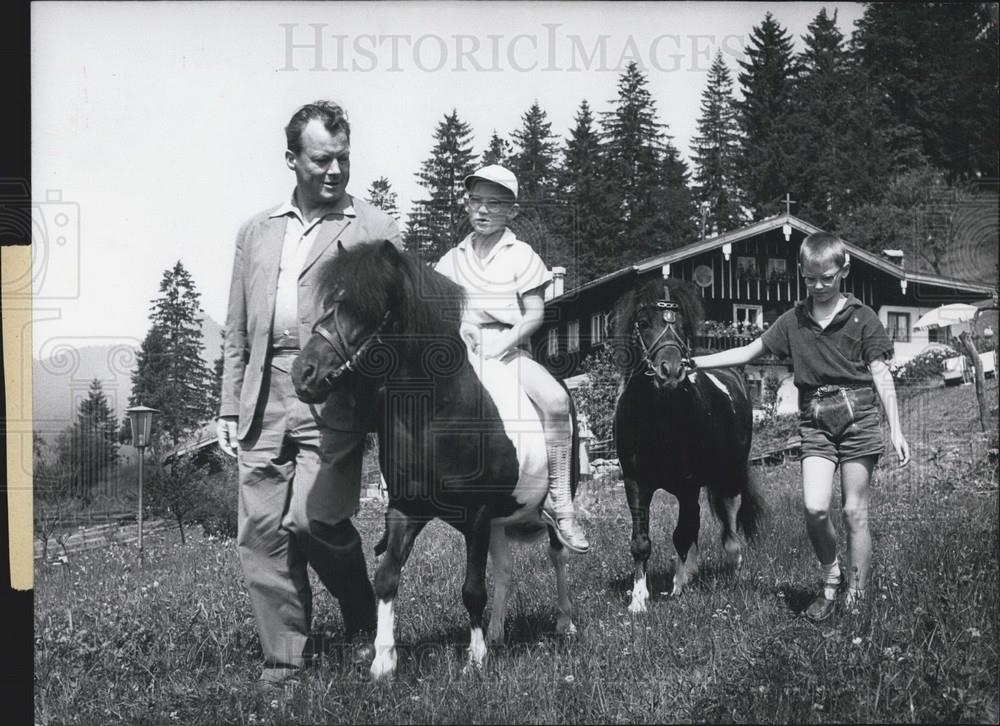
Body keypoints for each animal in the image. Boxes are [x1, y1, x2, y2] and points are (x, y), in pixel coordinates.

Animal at [292, 242, 580, 680]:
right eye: (329, 304)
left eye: (368, 307)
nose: (303, 373)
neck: (437, 413)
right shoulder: (406, 510)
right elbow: (386, 578)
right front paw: (383, 661)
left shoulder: (476, 514)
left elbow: (472, 589)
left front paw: (475, 658)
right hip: (500, 520)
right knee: (505, 570)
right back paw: (497, 633)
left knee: (557, 555)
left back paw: (564, 623)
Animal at [612, 276, 760, 612]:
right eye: (643, 322)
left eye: (682, 325)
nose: (671, 371)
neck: (658, 419)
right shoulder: (635, 483)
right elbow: (641, 542)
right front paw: (638, 600)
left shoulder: (689, 484)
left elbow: (681, 533)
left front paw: (678, 587)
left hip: (730, 476)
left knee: (727, 521)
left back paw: (732, 565)